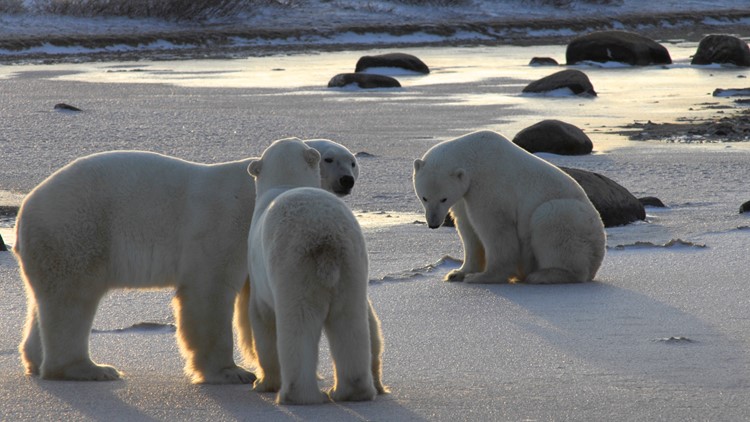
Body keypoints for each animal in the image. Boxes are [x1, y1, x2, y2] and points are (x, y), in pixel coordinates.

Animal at [13, 138, 362, 382]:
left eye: (353, 161)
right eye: (329, 159)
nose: (347, 180)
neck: (256, 188)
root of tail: (25, 209)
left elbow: (252, 300)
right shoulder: (223, 224)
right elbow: (210, 291)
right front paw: (230, 372)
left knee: (47, 299)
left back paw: (36, 359)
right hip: (77, 230)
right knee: (73, 300)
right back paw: (90, 369)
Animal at [248, 139, 388, 406]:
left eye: (351, 163)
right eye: (329, 160)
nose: (347, 180)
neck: (287, 182)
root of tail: (325, 239)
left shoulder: (260, 280)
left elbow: (263, 322)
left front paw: (264, 383)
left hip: (295, 270)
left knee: (297, 327)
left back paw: (298, 395)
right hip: (350, 267)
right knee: (351, 323)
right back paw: (350, 392)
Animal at [414, 130, 608, 286]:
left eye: (443, 198)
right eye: (424, 197)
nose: (433, 223)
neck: (473, 155)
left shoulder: (488, 185)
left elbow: (494, 228)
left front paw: (483, 277)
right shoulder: (464, 196)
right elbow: (467, 228)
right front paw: (458, 273)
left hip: (575, 223)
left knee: (551, 219)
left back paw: (544, 275)